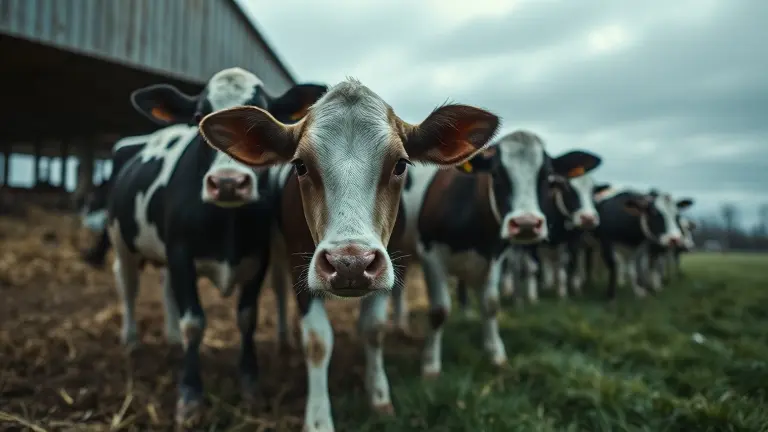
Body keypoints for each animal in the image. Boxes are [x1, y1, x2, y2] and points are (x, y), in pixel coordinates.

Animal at [105, 67, 328, 426]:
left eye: (264, 119)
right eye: (199, 117)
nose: (228, 183)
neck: (227, 224)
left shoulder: (258, 258)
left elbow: (247, 317)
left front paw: (250, 384)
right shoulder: (180, 254)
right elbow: (194, 323)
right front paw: (190, 395)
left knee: (165, 288)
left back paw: (170, 340)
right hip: (120, 238)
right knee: (128, 285)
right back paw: (131, 341)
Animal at [198, 77, 502, 431]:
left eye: (400, 164)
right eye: (300, 165)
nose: (350, 265)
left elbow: (374, 329)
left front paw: (379, 395)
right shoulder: (300, 265)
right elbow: (317, 341)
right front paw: (318, 419)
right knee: (278, 290)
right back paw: (284, 340)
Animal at [392, 131, 600, 378]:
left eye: (547, 176)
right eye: (497, 173)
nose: (526, 224)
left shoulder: (496, 257)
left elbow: (491, 305)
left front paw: (496, 355)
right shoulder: (430, 253)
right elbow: (439, 311)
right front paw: (431, 364)